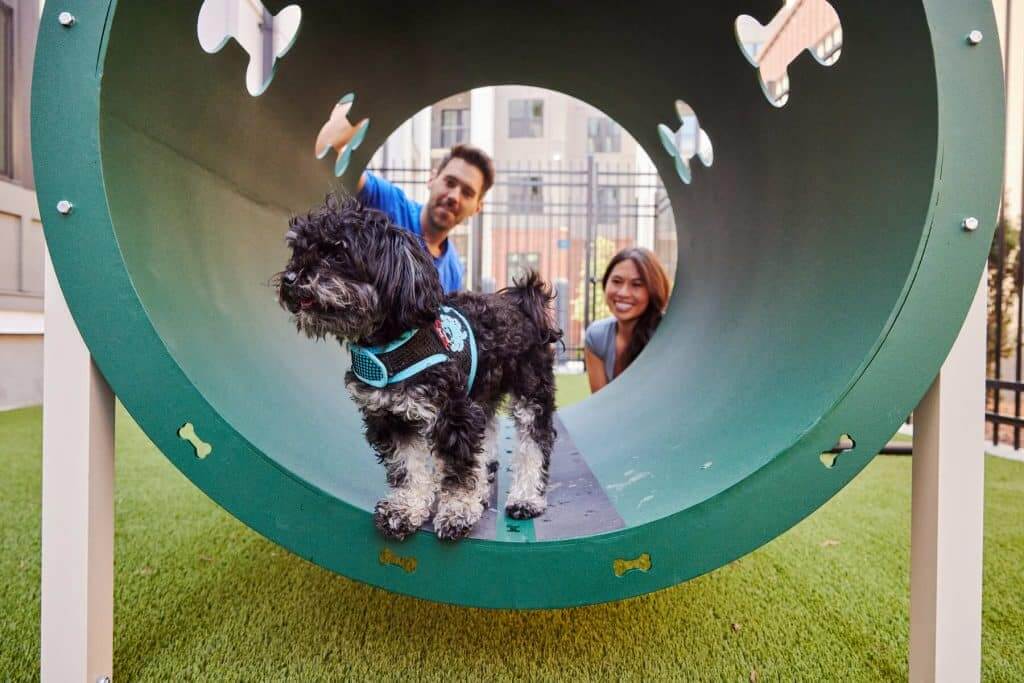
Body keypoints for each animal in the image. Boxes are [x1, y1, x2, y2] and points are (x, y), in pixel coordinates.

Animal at [276, 194, 561, 540]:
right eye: (297, 250)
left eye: (338, 253)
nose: (290, 279)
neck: (390, 344)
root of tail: (520, 300)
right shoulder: (391, 417)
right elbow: (408, 467)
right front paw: (405, 509)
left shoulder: (453, 414)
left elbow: (458, 466)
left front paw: (457, 511)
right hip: (483, 390)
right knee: (489, 432)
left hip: (531, 387)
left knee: (535, 440)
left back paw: (526, 497)